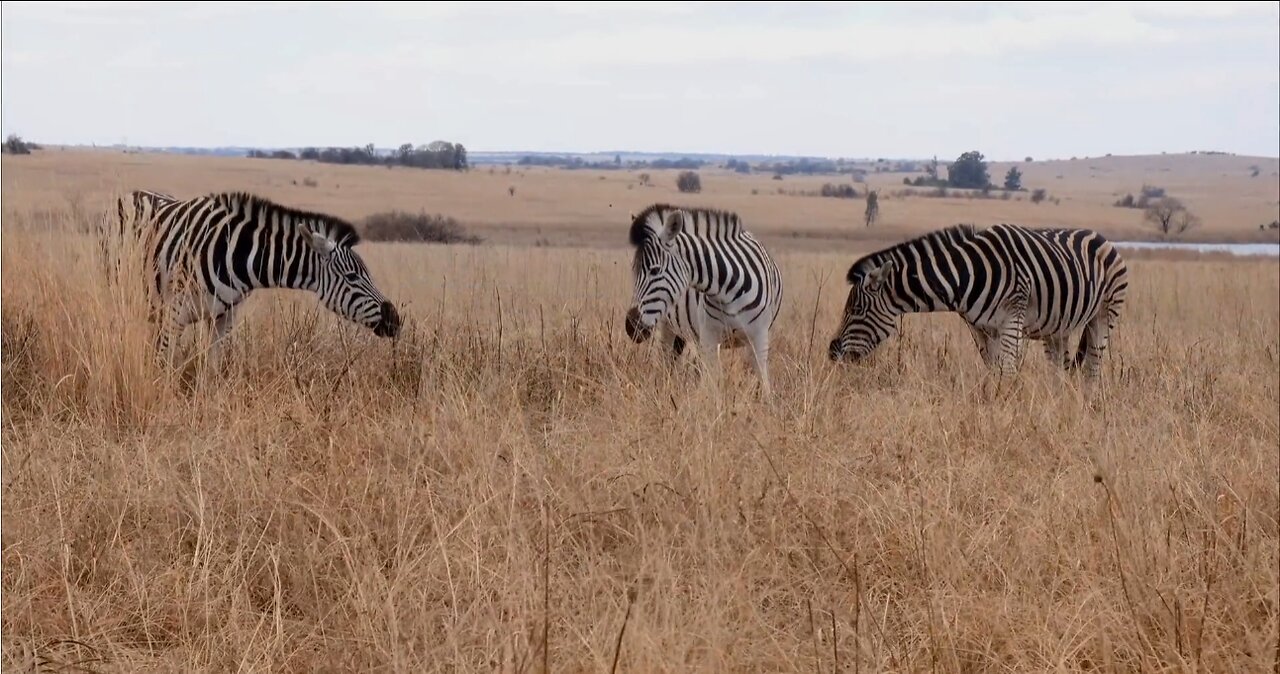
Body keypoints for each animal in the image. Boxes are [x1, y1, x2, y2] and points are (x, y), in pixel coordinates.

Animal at [113, 186, 399, 365]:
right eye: (352, 277)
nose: (395, 320)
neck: (235, 255)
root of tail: (134, 193)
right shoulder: (175, 314)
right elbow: (164, 365)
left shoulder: (225, 316)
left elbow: (211, 367)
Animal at [619, 203, 778, 399]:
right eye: (634, 271)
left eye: (655, 270)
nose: (630, 326)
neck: (729, 288)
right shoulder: (709, 336)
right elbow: (713, 383)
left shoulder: (759, 336)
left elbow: (763, 383)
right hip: (668, 327)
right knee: (665, 364)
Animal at [824, 222, 1126, 376]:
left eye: (857, 310)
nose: (832, 352)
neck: (966, 273)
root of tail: (1100, 235)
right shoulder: (981, 329)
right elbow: (993, 370)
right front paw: (993, 406)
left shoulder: (1012, 320)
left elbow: (1008, 370)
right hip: (1058, 327)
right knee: (1059, 371)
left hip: (1104, 315)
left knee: (1092, 367)